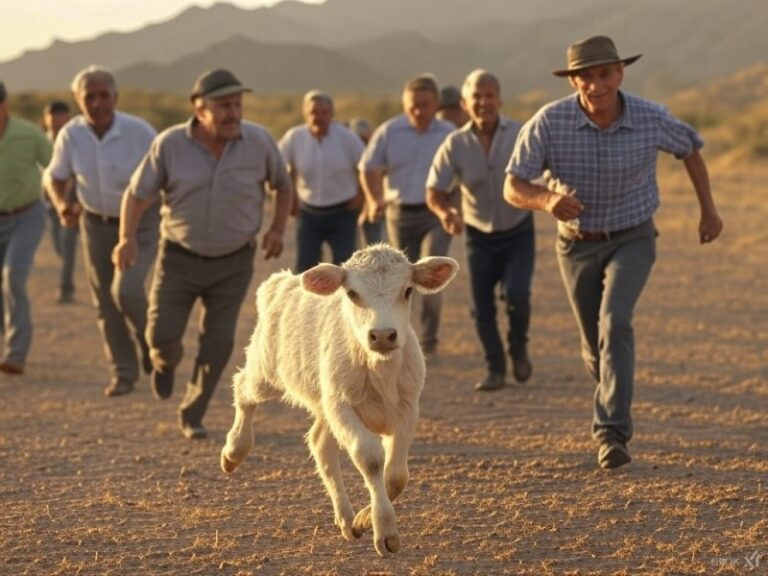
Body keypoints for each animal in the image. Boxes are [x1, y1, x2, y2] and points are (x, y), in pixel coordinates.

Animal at [219, 244, 460, 560]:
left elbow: (395, 475)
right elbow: (370, 458)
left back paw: (347, 520)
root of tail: (279, 283)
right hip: (267, 369)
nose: (383, 335)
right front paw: (384, 531)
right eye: (352, 293)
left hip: (323, 401)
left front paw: (364, 518)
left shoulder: (408, 407)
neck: (378, 369)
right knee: (243, 390)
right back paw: (233, 451)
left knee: (320, 443)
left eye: (408, 290)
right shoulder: (342, 406)